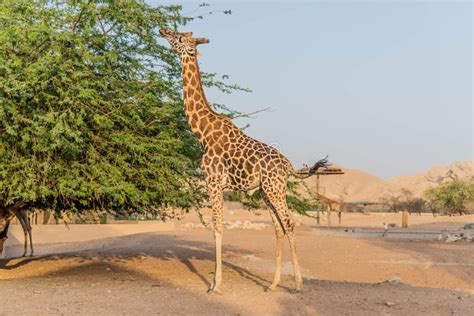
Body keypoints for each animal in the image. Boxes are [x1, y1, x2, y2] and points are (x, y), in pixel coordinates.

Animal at [161, 29, 328, 294]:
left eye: (178, 38)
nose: (162, 31)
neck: (202, 133)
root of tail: (287, 164)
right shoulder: (218, 185)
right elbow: (218, 227)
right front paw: (215, 282)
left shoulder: (213, 182)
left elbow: (217, 227)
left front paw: (215, 285)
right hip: (266, 192)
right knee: (278, 228)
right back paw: (273, 284)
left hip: (274, 189)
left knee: (289, 223)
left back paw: (298, 284)